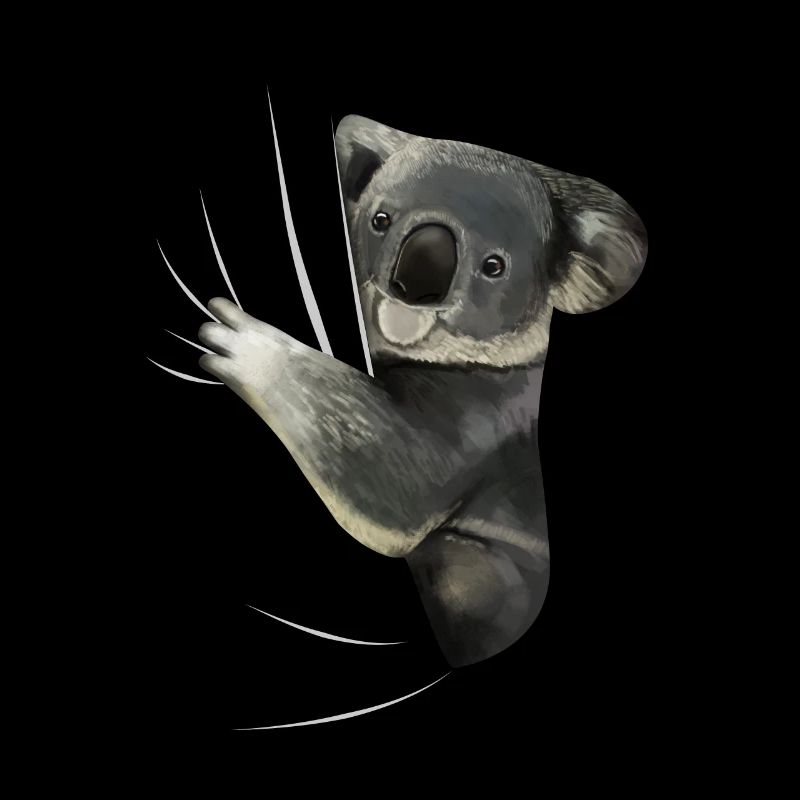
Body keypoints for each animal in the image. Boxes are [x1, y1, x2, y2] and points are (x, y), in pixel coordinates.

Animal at [194, 115, 647, 667]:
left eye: (494, 266)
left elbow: (397, 484)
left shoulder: (481, 420)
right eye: (381, 219)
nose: (415, 283)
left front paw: (243, 344)